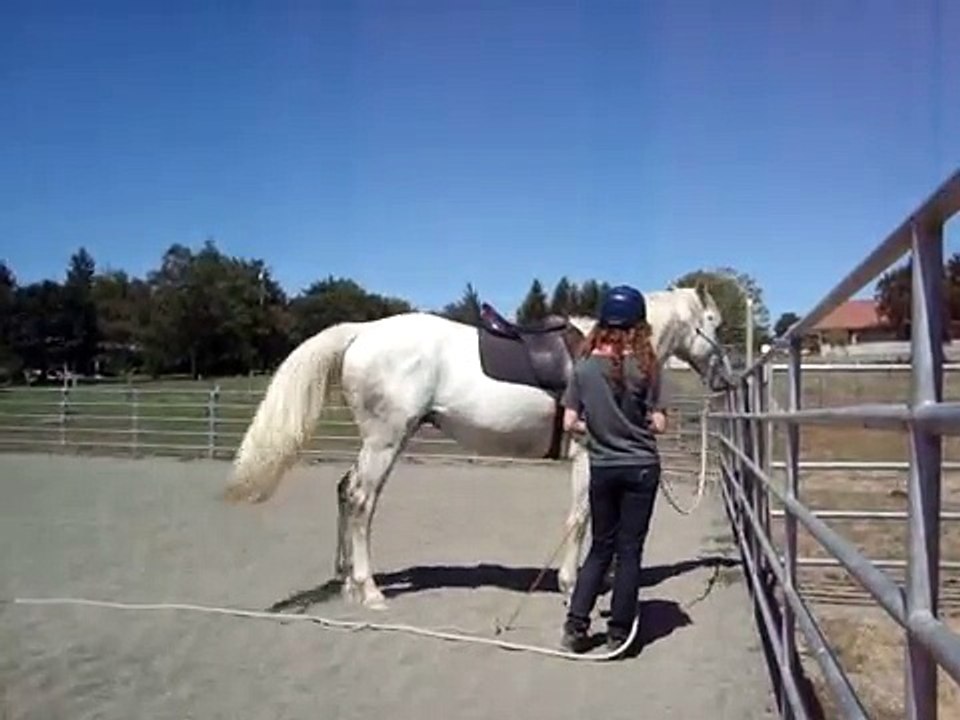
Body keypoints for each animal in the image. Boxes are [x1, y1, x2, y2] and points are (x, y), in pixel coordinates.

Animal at [224, 283, 728, 609]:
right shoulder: (588, 455)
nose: (727, 376)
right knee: (362, 500)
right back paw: (368, 590)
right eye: (714, 324)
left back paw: (347, 581)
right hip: (386, 440)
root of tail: (362, 331)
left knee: (346, 491)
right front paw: (571, 584)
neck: (610, 355)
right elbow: (581, 518)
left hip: (378, 442)